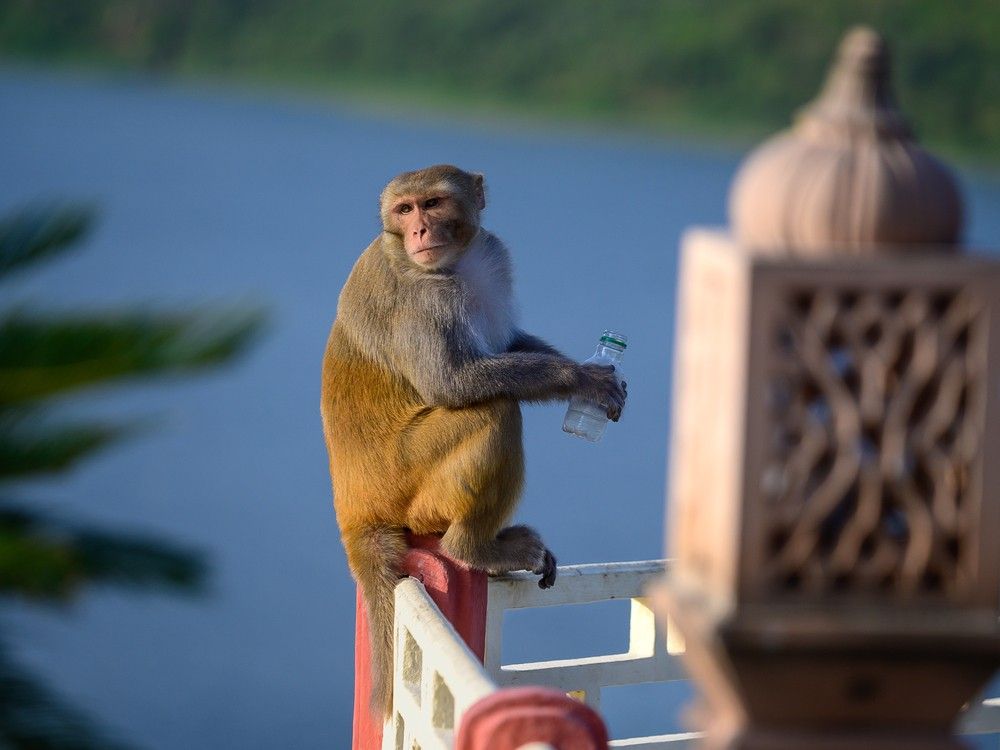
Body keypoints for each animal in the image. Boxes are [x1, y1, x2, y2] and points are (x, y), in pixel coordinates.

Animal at [320, 164, 626, 716]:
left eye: (432, 203)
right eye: (404, 210)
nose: (420, 230)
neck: (455, 263)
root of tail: (355, 511)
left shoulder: (492, 255)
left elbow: (505, 343)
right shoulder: (422, 299)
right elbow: (452, 383)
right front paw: (582, 378)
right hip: (407, 484)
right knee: (495, 410)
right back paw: (473, 548)